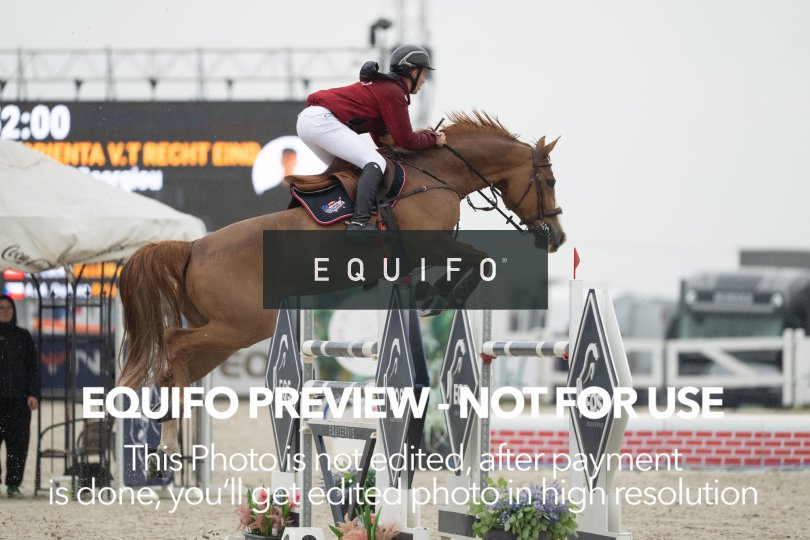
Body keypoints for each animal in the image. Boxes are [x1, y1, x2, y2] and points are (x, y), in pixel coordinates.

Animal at [116, 111, 566, 476]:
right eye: (549, 181)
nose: (557, 238)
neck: (437, 177)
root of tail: (194, 246)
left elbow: (470, 262)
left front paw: (431, 293)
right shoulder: (431, 245)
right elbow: (481, 260)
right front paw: (439, 297)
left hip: (226, 337)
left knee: (177, 367)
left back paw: (164, 450)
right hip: (241, 327)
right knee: (173, 343)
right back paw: (168, 447)